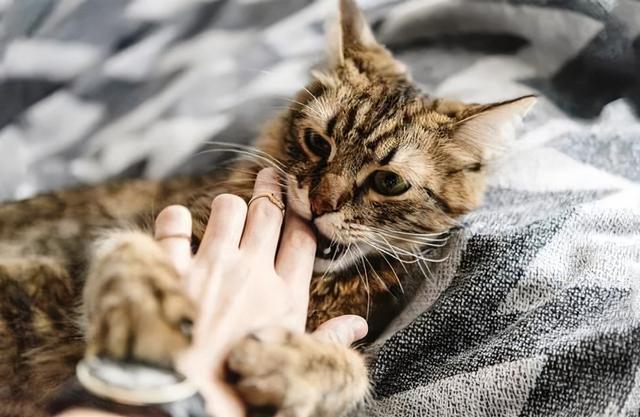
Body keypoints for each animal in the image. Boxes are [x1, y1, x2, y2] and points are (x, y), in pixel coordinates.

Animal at [0, 0, 536, 416]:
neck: (321, 286)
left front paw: (291, 367)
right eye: (318, 143)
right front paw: (146, 308)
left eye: (388, 182)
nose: (320, 202)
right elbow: (125, 249)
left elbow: (353, 372)